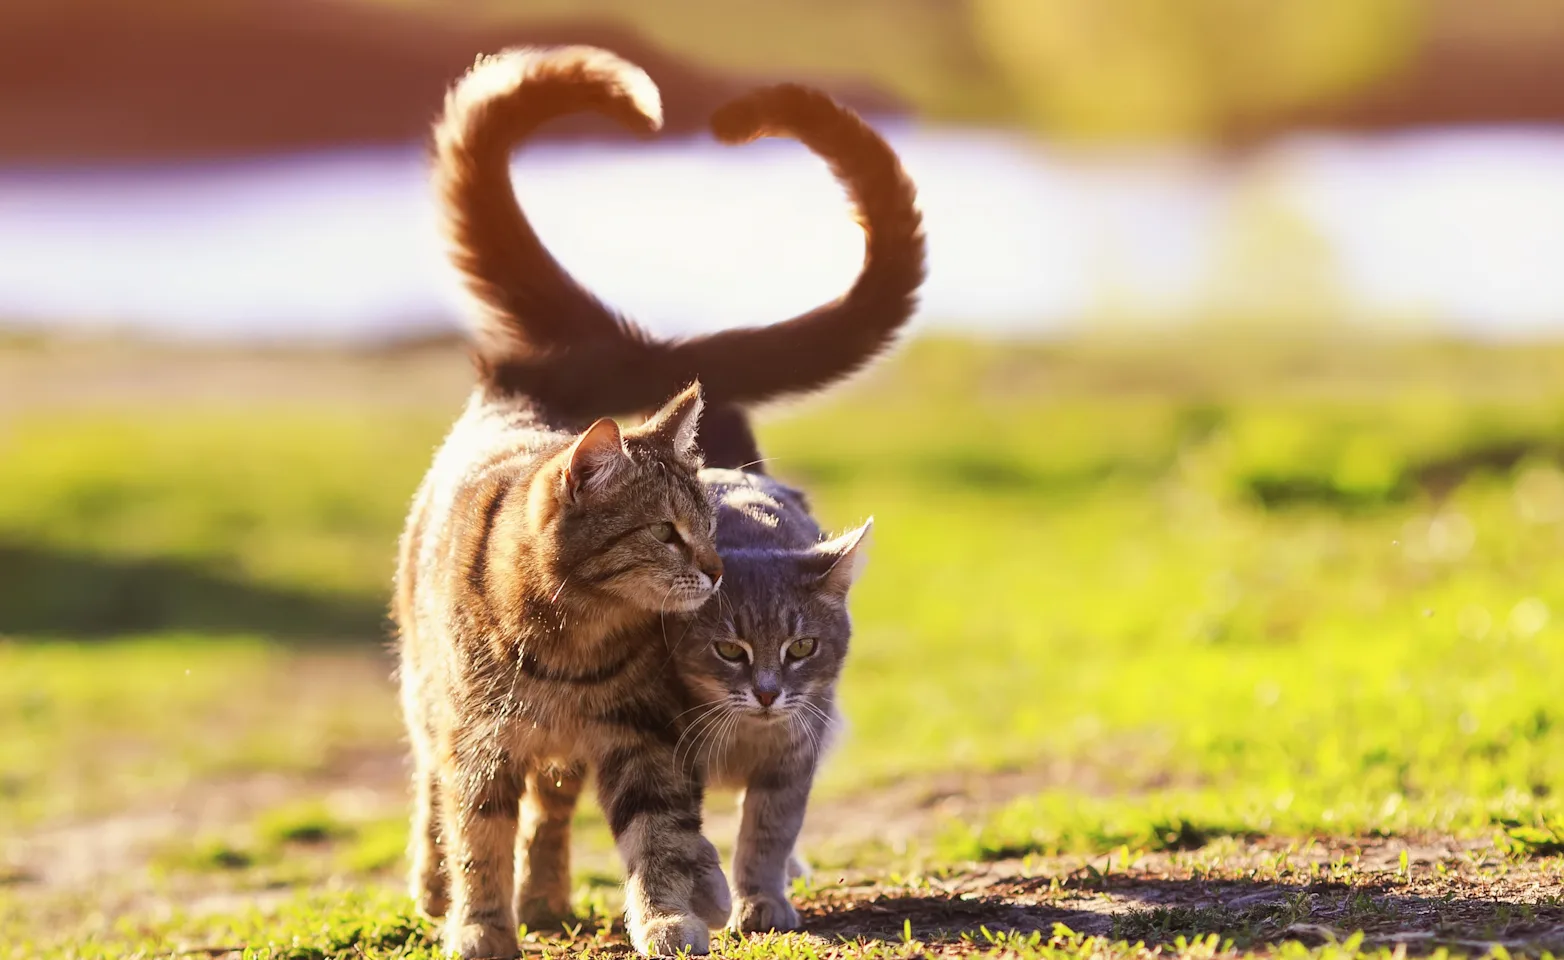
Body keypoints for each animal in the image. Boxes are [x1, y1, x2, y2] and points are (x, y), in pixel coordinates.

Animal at [422, 43, 919, 938]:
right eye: (668, 533)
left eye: (803, 648)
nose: (768, 691)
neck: (571, 643)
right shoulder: (502, 736)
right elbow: (484, 830)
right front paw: (478, 925)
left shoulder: (735, 746)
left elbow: (738, 832)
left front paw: (733, 903)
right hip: (430, 694)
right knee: (435, 786)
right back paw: (441, 886)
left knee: (555, 807)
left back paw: (550, 896)